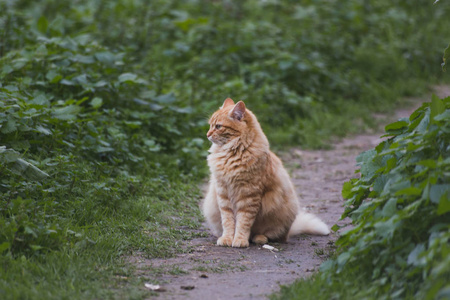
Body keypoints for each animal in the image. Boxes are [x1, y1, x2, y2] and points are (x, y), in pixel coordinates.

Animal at [202, 97, 328, 247]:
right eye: (210, 126)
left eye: (218, 127)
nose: (207, 134)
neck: (231, 153)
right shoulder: (223, 194)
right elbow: (228, 222)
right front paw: (227, 238)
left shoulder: (249, 196)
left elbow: (243, 222)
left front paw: (240, 240)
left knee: (273, 236)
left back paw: (259, 238)